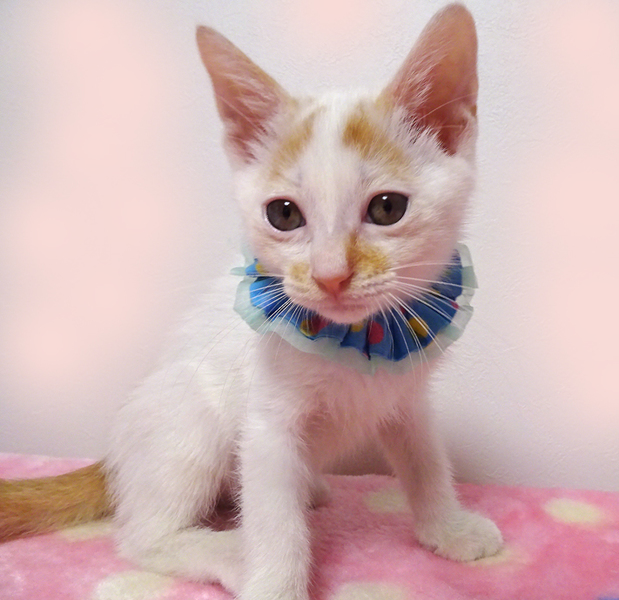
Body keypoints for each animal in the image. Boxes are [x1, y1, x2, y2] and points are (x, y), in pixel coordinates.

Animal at [0, 4, 503, 600]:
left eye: (386, 208)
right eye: (283, 214)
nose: (331, 276)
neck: (359, 336)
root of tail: (113, 462)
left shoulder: (406, 397)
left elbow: (424, 458)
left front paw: (448, 528)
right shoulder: (266, 426)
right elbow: (273, 514)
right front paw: (275, 581)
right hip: (188, 419)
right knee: (141, 536)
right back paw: (230, 552)